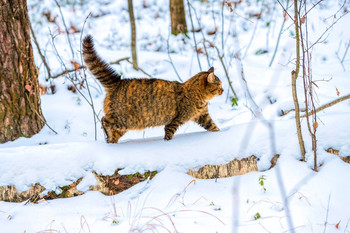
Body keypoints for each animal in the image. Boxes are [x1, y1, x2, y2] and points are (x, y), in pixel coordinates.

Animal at [83, 35, 223, 143]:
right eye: (219, 85)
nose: (223, 90)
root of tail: (118, 82)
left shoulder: (203, 117)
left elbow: (214, 127)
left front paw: (220, 134)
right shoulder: (175, 121)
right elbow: (168, 134)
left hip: (123, 126)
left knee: (111, 131)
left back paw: (111, 140)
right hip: (124, 120)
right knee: (104, 120)